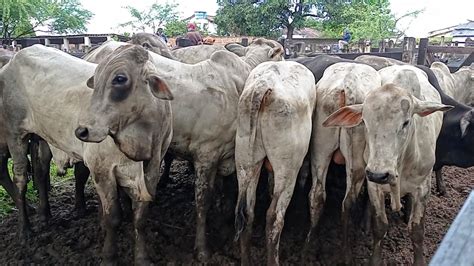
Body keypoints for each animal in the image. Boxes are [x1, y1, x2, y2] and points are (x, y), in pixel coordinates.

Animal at [308, 61, 382, 260]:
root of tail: (345, 86)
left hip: (320, 148)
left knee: (317, 195)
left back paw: (308, 250)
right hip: (356, 160)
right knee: (348, 202)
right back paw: (346, 254)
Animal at [322, 65, 452, 266]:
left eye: (406, 122)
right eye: (365, 122)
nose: (379, 174)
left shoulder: (423, 187)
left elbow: (417, 231)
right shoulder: (374, 185)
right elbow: (380, 226)